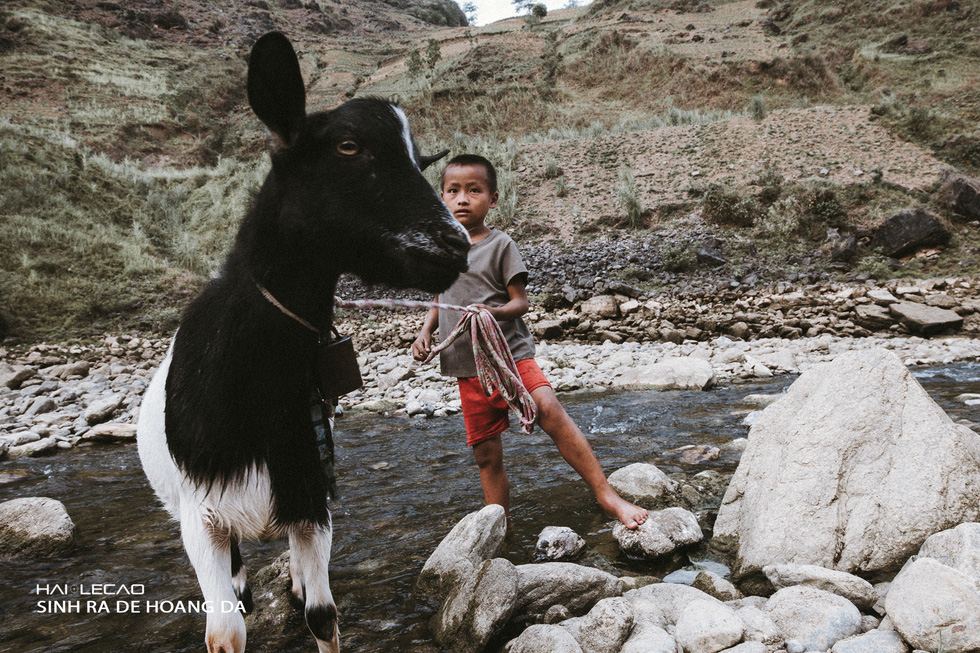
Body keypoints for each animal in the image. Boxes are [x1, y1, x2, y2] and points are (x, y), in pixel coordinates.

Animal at [138, 31, 470, 652]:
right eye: (347, 147)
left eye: (420, 161)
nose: (454, 244)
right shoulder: (200, 515)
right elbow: (226, 631)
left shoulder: (312, 493)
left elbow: (323, 615)